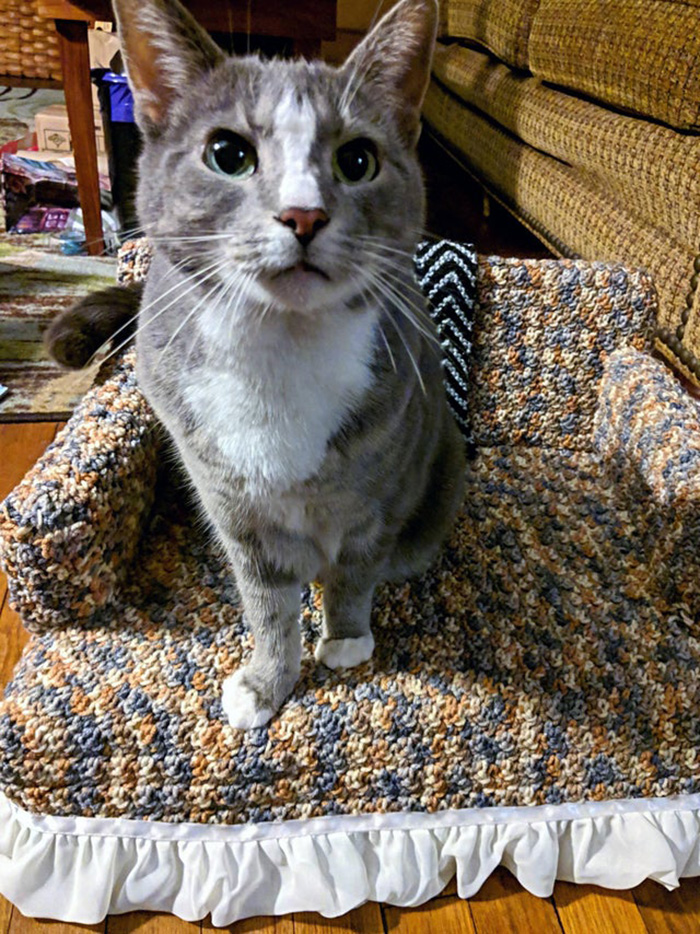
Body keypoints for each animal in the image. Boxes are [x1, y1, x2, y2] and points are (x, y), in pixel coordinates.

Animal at [49, 0, 464, 732]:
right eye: (228, 155)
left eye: (357, 160)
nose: (303, 215)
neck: (281, 348)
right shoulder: (229, 502)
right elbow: (267, 606)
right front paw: (268, 682)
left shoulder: (381, 492)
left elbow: (355, 571)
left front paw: (346, 639)